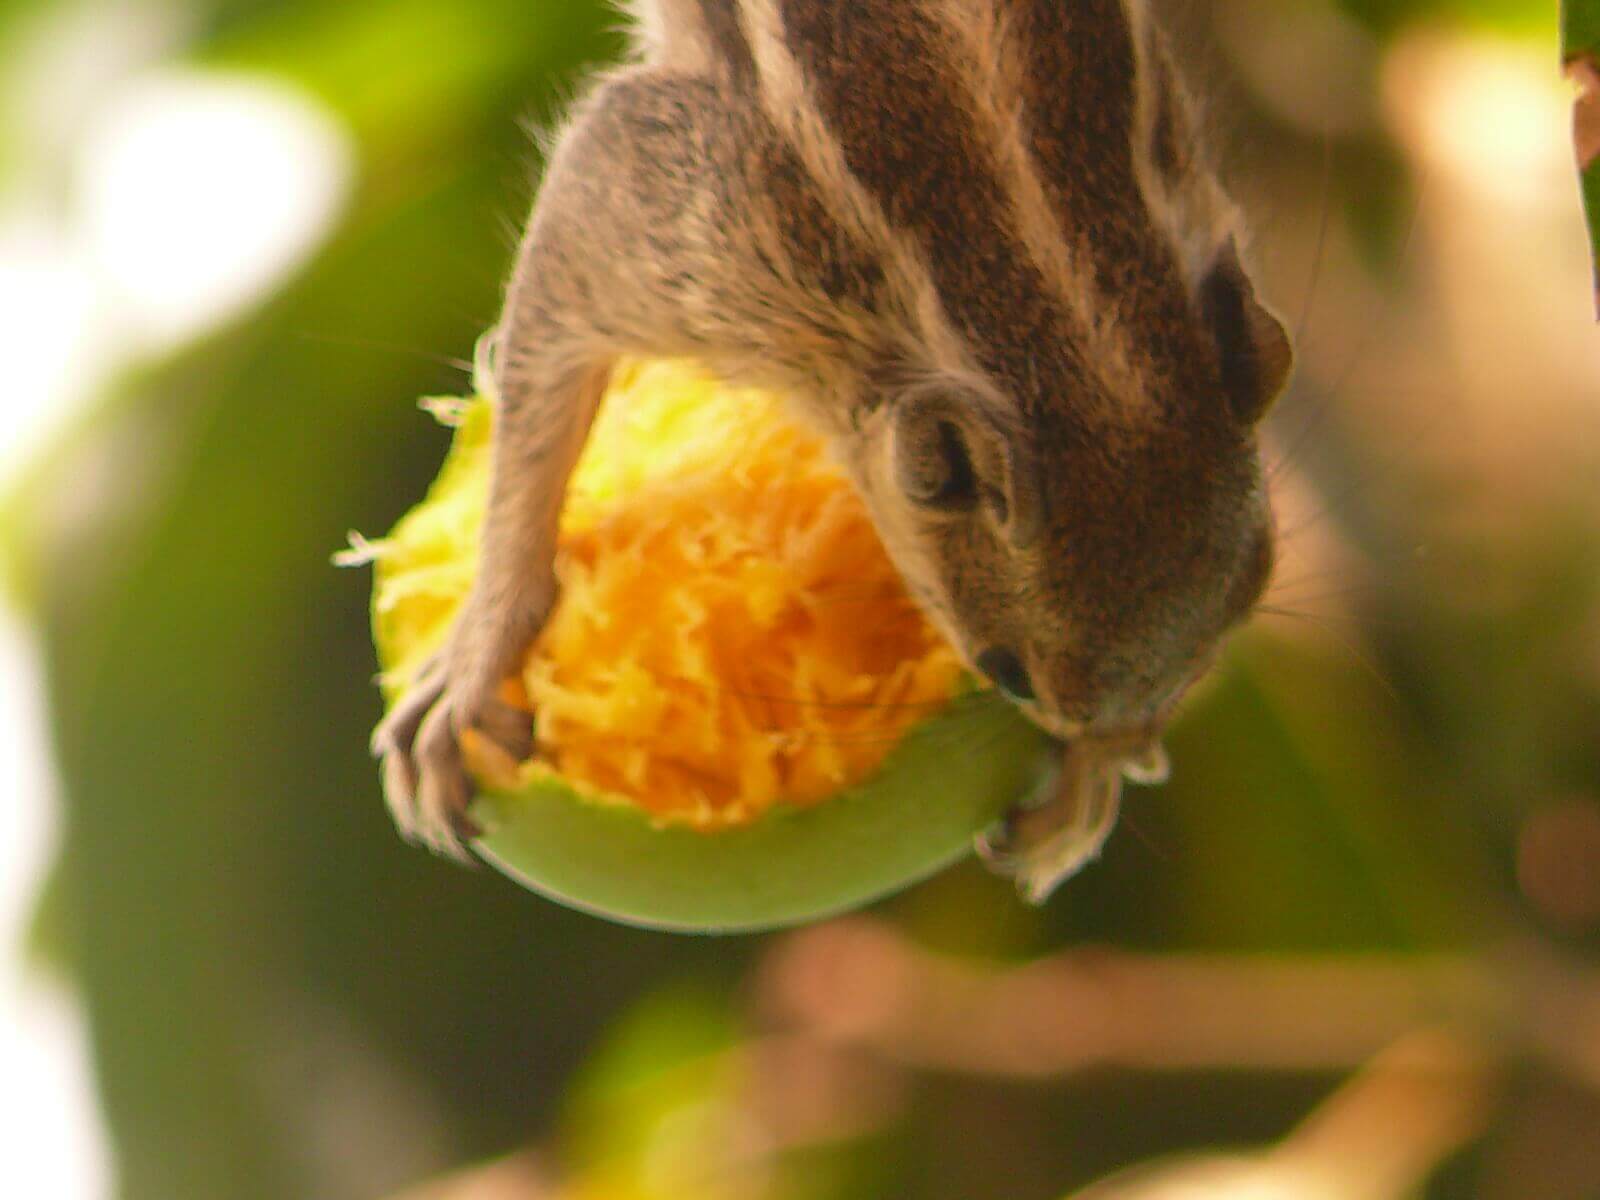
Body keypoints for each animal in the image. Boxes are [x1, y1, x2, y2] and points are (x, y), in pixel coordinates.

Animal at [372, 0, 1292, 901]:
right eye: (1007, 673)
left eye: (1245, 601)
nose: (1121, 742)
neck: (1072, 327)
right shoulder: (677, 221)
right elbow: (541, 378)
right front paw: (473, 666)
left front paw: (1082, 791)